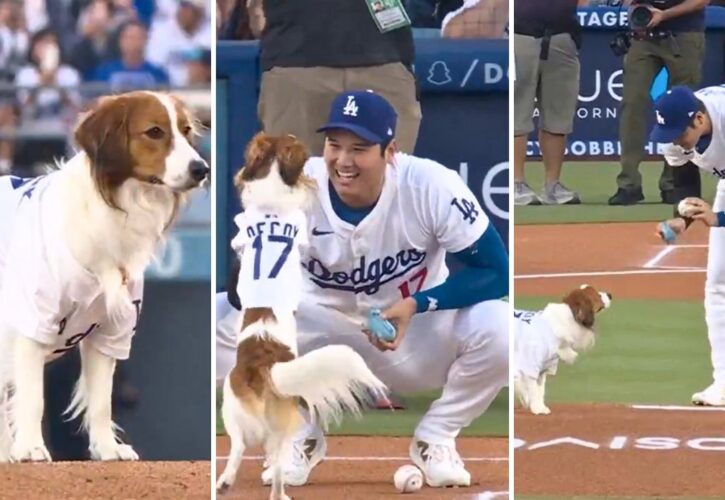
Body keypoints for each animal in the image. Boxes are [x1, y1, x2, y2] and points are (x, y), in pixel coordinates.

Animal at [0, 92, 209, 462]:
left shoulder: (114, 330)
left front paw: (107, 448)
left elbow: (100, 400)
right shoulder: (32, 322)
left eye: (186, 131)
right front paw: (31, 446)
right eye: (154, 132)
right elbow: (33, 397)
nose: (202, 169)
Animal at [214, 133, 384, 500]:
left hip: (232, 410)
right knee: (272, 464)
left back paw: (226, 481)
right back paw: (278, 492)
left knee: (237, 448)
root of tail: (262, 365)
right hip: (277, 420)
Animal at [512, 284, 608, 416]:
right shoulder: (531, 366)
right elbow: (533, 389)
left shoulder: (544, 368)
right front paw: (536, 408)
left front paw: (541, 407)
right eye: (598, 295)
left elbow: (540, 390)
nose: (610, 295)